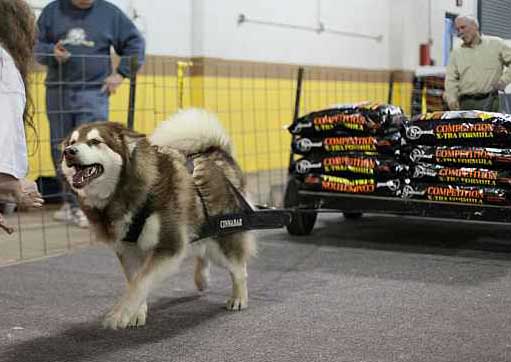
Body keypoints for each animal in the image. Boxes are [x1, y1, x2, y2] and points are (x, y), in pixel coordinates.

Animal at [60, 107, 256, 328]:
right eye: (71, 142)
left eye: (95, 141)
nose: (68, 152)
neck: (126, 191)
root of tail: (217, 152)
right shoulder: (128, 250)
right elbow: (135, 281)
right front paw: (137, 312)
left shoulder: (169, 245)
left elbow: (141, 281)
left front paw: (120, 313)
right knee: (203, 250)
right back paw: (202, 278)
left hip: (224, 236)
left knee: (238, 268)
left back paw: (238, 297)